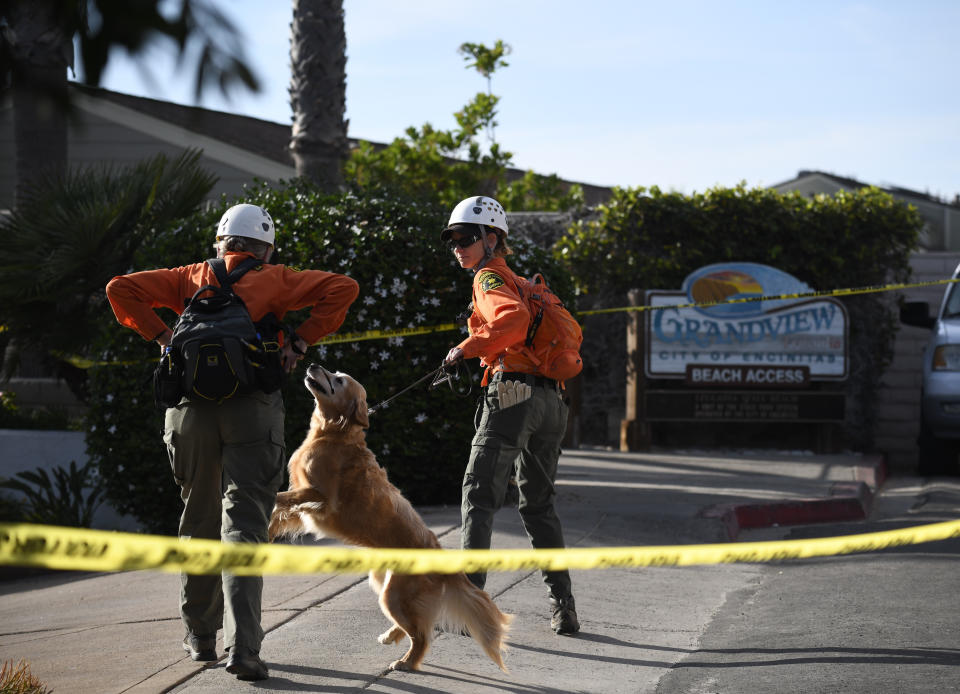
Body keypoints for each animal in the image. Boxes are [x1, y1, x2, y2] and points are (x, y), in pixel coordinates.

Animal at [266, 364, 512, 676]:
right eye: (334, 372)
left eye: (338, 380)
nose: (313, 365)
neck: (335, 433)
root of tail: (443, 560)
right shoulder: (305, 500)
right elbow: (285, 510)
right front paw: (269, 530)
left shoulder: (320, 496)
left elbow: (280, 497)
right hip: (383, 581)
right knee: (415, 624)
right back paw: (391, 636)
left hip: (393, 594)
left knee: (421, 634)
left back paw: (407, 661)